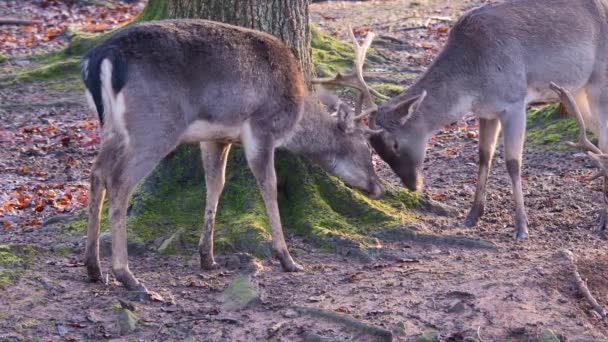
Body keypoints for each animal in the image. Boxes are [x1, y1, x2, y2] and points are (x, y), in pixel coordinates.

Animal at [81, 18, 384, 298]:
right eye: (366, 147)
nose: (377, 187)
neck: (295, 116)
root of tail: (100, 58)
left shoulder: (217, 137)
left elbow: (216, 185)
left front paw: (207, 257)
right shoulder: (262, 127)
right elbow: (269, 186)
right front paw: (287, 258)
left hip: (113, 129)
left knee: (97, 173)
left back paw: (93, 267)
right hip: (153, 126)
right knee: (119, 183)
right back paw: (126, 275)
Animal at [366, 0, 608, 240]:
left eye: (395, 144)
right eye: (376, 150)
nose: (413, 185)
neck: (474, 83)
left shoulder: (514, 101)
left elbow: (513, 163)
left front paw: (521, 227)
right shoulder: (487, 111)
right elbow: (484, 156)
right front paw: (472, 215)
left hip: (599, 81)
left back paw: (602, 219)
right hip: (577, 92)